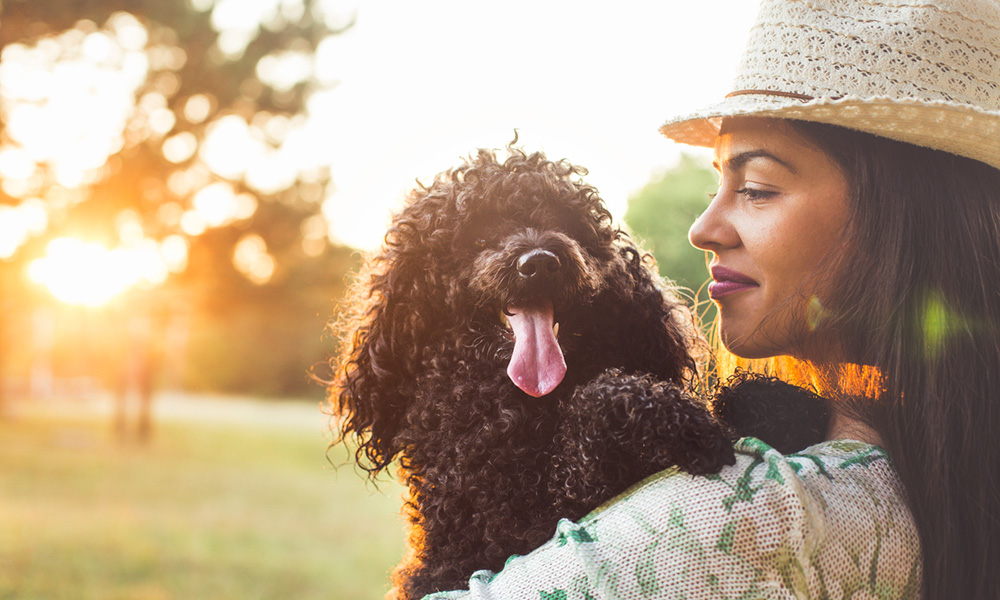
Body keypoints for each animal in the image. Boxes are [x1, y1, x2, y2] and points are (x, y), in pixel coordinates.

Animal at [328, 142, 828, 600]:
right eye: (478, 237)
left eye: (564, 223)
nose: (539, 262)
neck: (516, 402)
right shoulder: (514, 522)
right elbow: (600, 403)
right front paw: (683, 423)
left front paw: (779, 402)